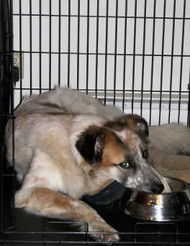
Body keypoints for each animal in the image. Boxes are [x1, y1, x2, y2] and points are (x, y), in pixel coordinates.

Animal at [5, 88, 189, 242]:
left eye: (144, 154)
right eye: (124, 164)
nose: (158, 189)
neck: (76, 158)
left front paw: (165, 183)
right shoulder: (29, 191)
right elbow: (78, 203)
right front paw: (101, 228)